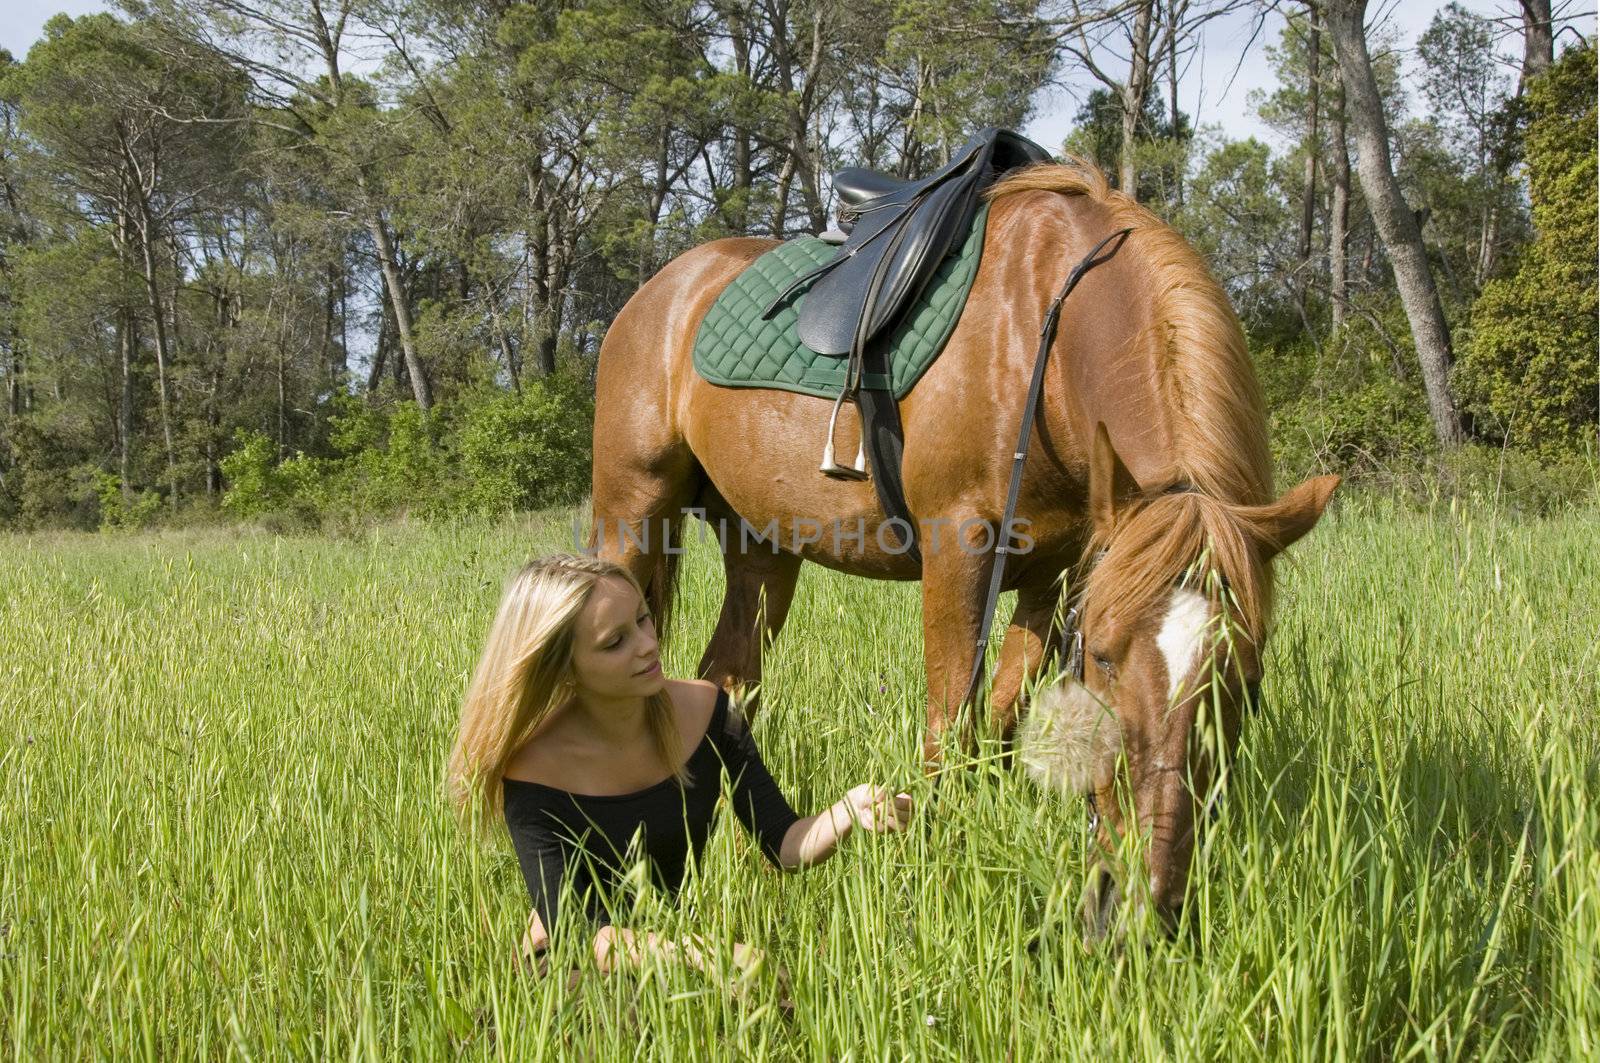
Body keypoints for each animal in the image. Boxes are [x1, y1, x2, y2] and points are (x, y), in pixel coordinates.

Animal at [588, 156, 1337, 928]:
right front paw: (934, 880)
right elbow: (950, 729)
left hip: (761, 547)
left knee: (728, 684)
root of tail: (659, 290)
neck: (1048, 336)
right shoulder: (961, 545)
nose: (1143, 903)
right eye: (1102, 656)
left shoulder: (1056, 573)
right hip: (630, 513)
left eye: (1247, 676)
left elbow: (1001, 720)